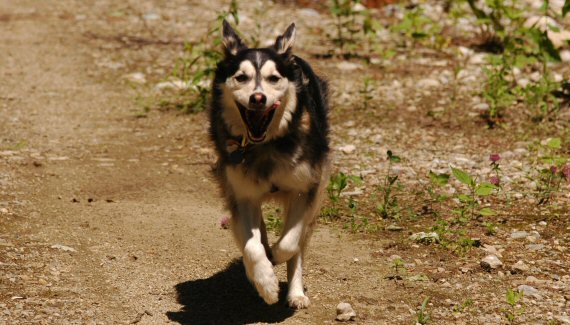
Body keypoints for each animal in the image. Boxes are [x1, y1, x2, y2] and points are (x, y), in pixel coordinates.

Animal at [207, 20, 330, 308]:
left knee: (298, 246)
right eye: (241, 77)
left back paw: (295, 293)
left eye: (274, 78)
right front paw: (265, 282)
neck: (264, 146)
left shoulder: (306, 189)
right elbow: (252, 246)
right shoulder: (242, 193)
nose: (258, 98)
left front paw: (276, 256)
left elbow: (290, 243)